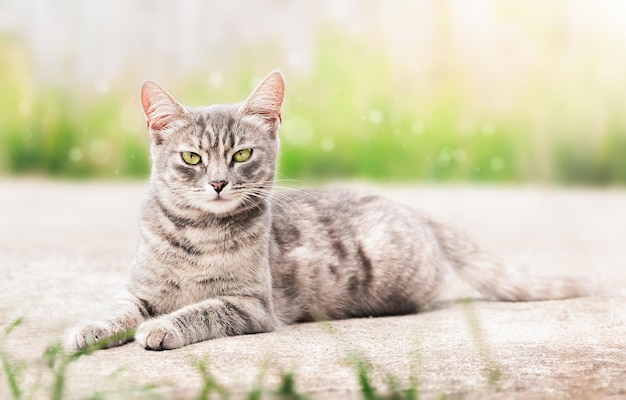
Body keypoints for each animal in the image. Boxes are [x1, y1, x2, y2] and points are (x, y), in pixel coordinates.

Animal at [67, 71, 588, 350]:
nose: (217, 182)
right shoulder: (139, 291)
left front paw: (161, 328)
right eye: (192, 158)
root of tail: (412, 208)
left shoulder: (251, 305)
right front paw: (88, 329)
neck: (199, 234)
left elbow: (202, 310)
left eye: (241, 155)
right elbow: (116, 309)